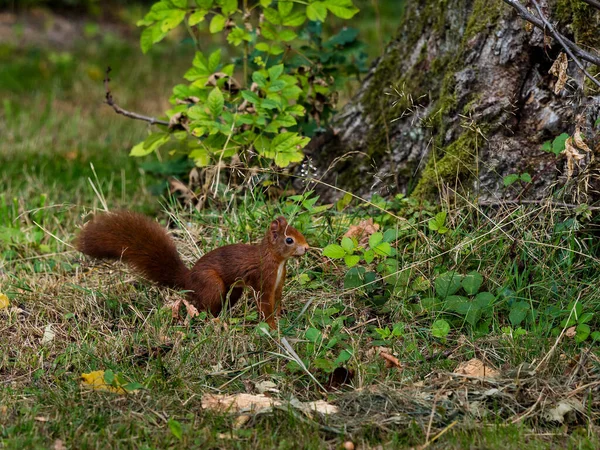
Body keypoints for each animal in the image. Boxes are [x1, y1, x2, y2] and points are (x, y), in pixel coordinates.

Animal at [76, 211, 310, 326]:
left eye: (298, 232)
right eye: (289, 240)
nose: (307, 247)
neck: (277, 261)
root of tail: (188, 279)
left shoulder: (278, 283)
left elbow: (277, 301)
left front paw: (281, 318)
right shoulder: (263, 278)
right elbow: (265, 304)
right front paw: (272, 327)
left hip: (233, 289)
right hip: (212, 284)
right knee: (205, 307)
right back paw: (215, 321)